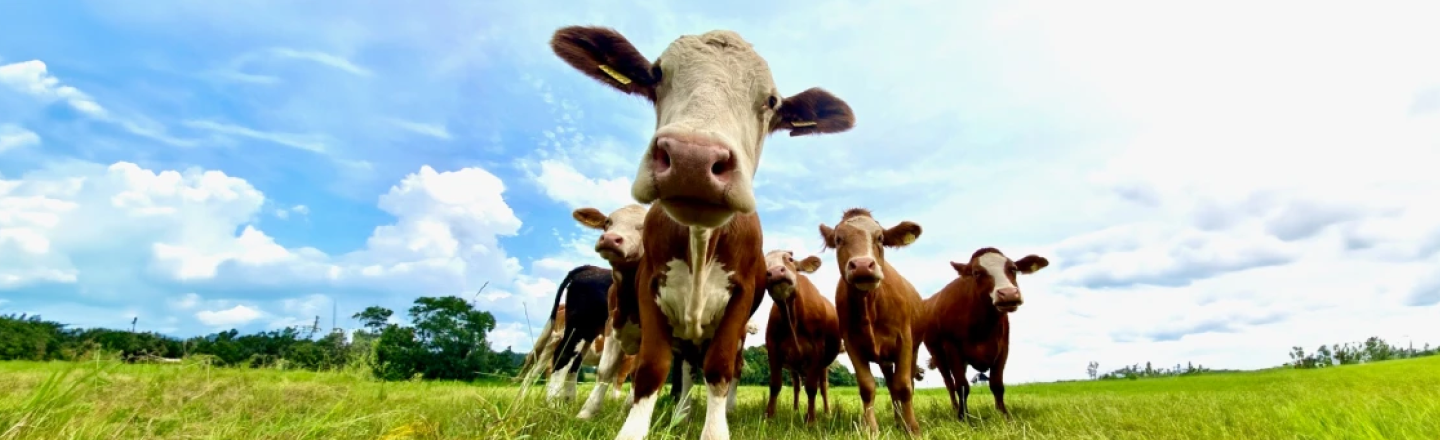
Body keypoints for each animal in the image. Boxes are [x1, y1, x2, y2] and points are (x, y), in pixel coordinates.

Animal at [760, 248, 840, 425]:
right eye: (764, 264)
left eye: (789, 259)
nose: (775, 272)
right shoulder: (773, 348)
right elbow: (775, 384)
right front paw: (769, 417)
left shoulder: (817, 350)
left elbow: (812, 388)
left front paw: (811, 420)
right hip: (794, 366)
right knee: (796, 386)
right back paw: (795, 410)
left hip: (824, 365)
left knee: (823, 387)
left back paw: (827, 412)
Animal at [817, 208, 927, 434]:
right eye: (839, 239)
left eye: (880, 238)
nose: (861, 266)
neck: (869, 303)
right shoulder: (852, 344)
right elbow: (867, 386)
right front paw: (871, 429)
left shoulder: (905, 340)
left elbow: (905, 386)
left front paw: (913, 429)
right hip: (885, 359)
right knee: (891, 385)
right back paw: (897, 421)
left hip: (913, 348)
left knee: (906, 382)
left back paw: (903, 422)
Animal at [921, 245, 1048, 419]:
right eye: (976, 272)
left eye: (1013, 268)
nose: (1008, 294)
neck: (982, 327)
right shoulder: (952, 348)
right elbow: (961, 385)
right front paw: (963, 417)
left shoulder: (1003, 348)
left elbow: (997, 384)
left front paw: (1003, 415)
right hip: (937, 354)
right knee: (949, 383)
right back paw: (955, 408)